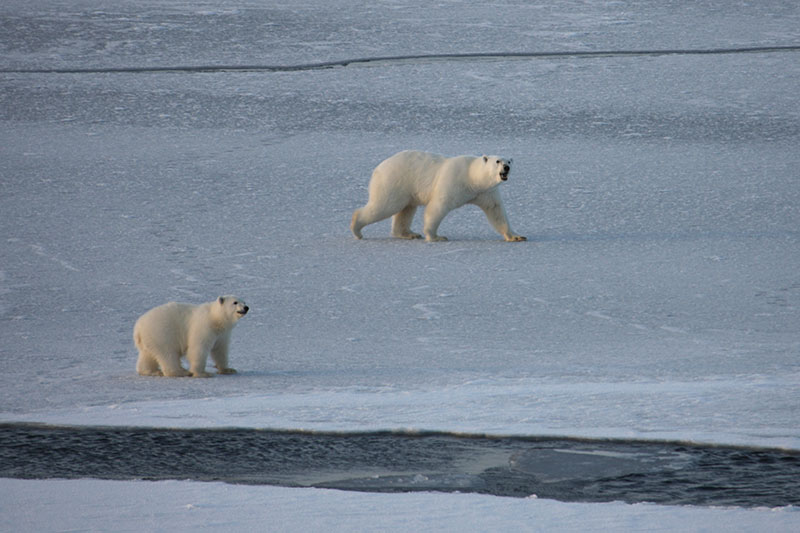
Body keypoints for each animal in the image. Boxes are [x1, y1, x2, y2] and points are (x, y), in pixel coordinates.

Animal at [350, 149, 524, 242]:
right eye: (497, 161)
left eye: (509, 161)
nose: (506, 167)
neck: (472, 177)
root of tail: (378, 169)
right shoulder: (453, 181)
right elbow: (438, 206)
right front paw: (436, 236)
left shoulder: (486, 192)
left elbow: (496, 212)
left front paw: (516, 236)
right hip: (394, 181)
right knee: (384, 206)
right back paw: (356, 229)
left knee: (406, 210)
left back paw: (409, 234)